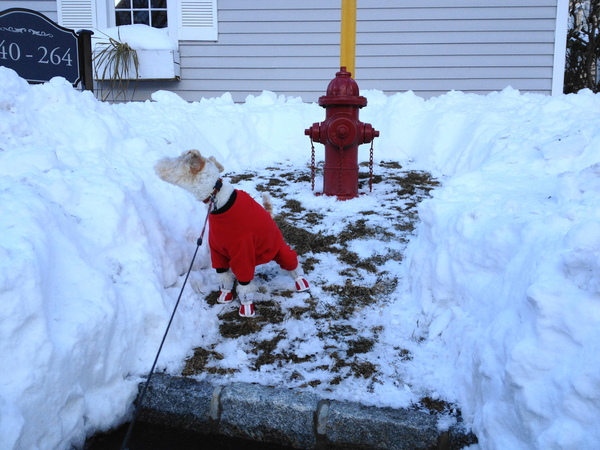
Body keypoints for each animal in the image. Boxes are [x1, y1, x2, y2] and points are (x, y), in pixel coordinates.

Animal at [152, 150, 312, 316]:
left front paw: (246, 308)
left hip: (278, 249)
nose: (157, 163)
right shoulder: (218, 251)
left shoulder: (243, 252)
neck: (219, 201)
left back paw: (301, 282)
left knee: (293, 264)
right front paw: (225, 296)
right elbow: (224, 277)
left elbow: (245, 285)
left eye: (177, 160)